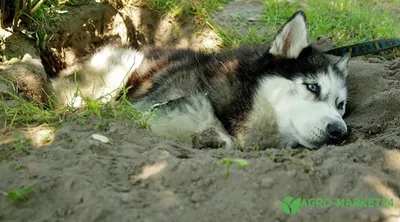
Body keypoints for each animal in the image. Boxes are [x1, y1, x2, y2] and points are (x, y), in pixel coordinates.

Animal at [48, 10, 350, 149]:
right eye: (313, 87)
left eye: (341, 105)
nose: (340, 131)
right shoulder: (151, 107)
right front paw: (209, 136)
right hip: (119, 68)